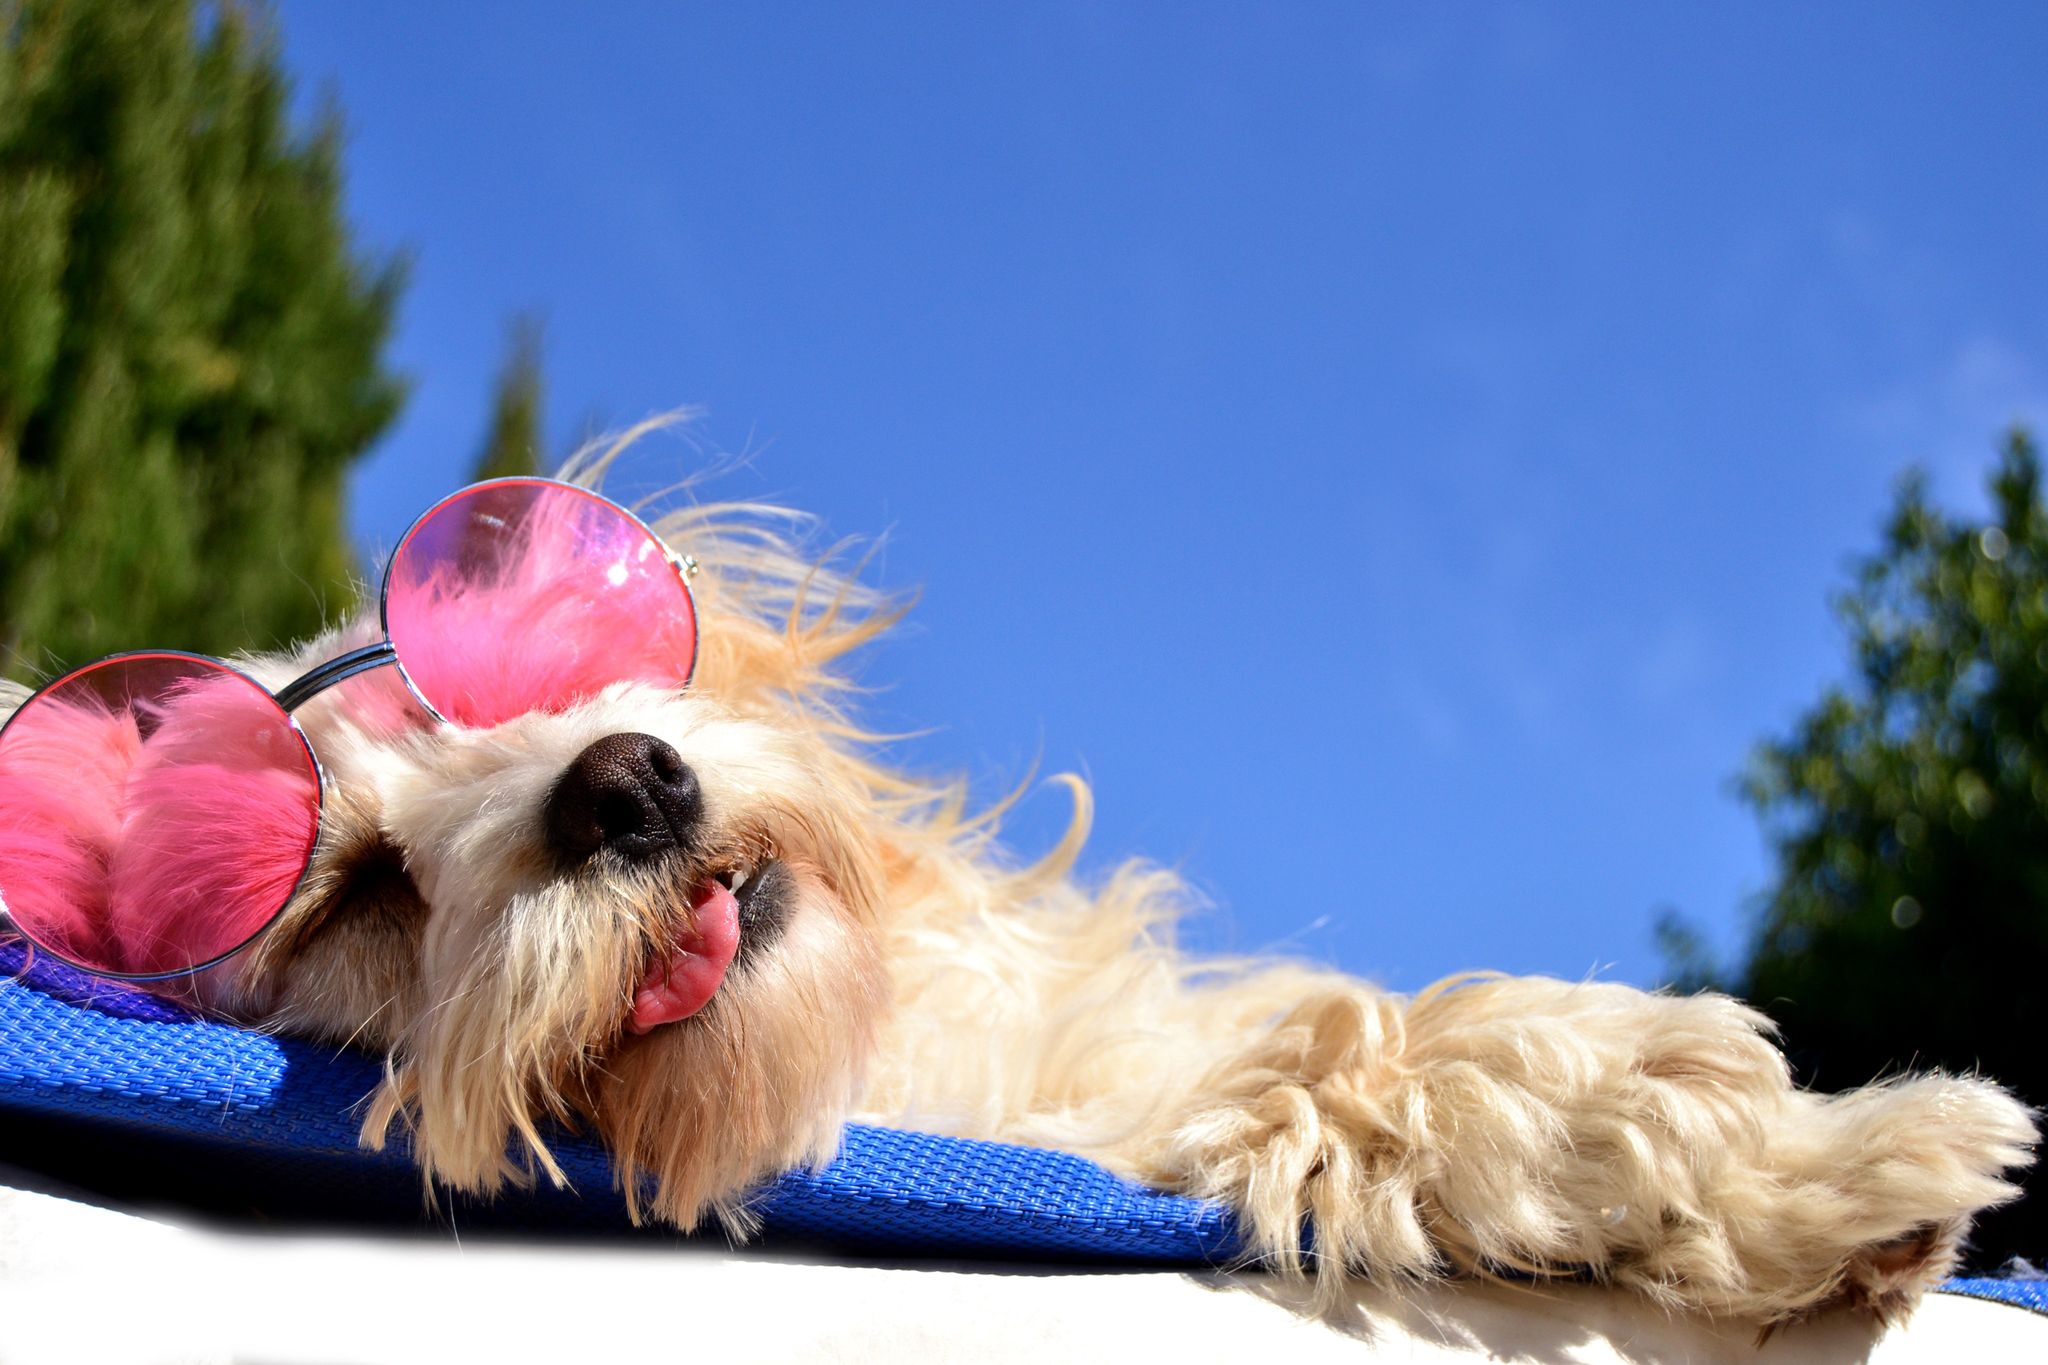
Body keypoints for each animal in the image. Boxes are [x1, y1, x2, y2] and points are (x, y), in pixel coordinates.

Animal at [8, 435, 2039, 1326]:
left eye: (509, 672)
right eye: (354, 885)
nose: (627, 783)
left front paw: (1806, 1177)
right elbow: (1358, 1073)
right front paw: (1781, 1141)